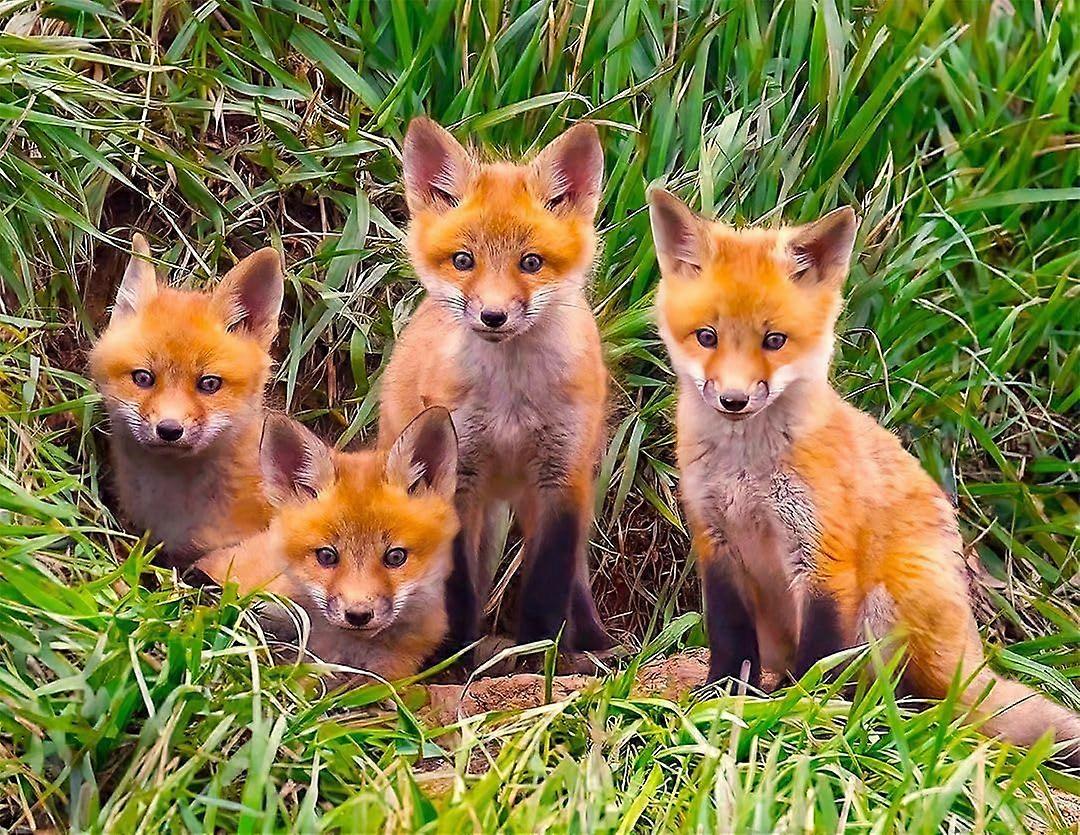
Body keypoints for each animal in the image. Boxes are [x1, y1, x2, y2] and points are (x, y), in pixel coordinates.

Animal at [378, 117, 613, 656]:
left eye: (531, 263)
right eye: (464, 260)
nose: (493, 316)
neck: (512, 398)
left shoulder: (561, 478)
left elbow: (548, 580)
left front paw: (540, 652)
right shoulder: (458, 476)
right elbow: (457, 585)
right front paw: (452, 654)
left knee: (577, 574)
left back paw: (593, 640)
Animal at [648, 187, 1080, 764]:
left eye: (774, 340)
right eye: (707, 336)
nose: (733, 400)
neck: (745, 471)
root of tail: (970, 660)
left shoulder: (823, 554)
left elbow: (819, 656)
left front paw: (798, 711)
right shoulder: (715, 543)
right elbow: (729, 639)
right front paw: (722, 695)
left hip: (886, 602)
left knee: (908, 699)